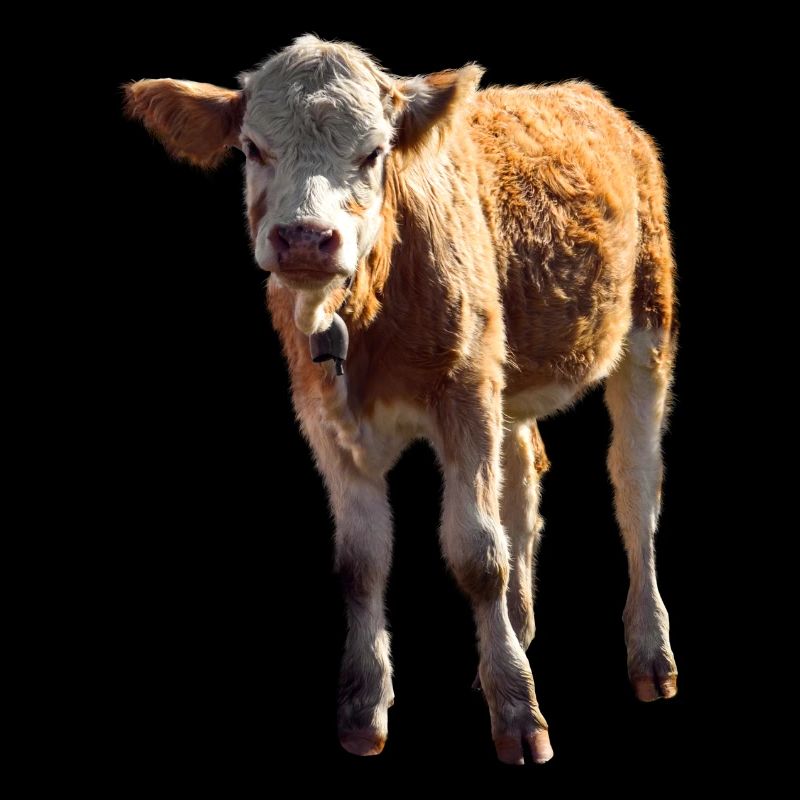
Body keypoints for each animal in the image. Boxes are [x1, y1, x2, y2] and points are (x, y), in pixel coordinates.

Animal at [125, 35, 678, 765]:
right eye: (252, 148)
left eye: (374, 151)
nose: (305, 237)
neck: (364, 314)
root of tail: (584, 95)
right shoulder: (325, 419)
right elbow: (360, 562)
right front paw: (366, 708)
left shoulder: (464, 393)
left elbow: (478, 554)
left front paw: (517, 712)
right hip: (506, 369)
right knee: (523, 479)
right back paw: (519, 629)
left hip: (648, 326)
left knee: (635, 489)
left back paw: (650, 655)